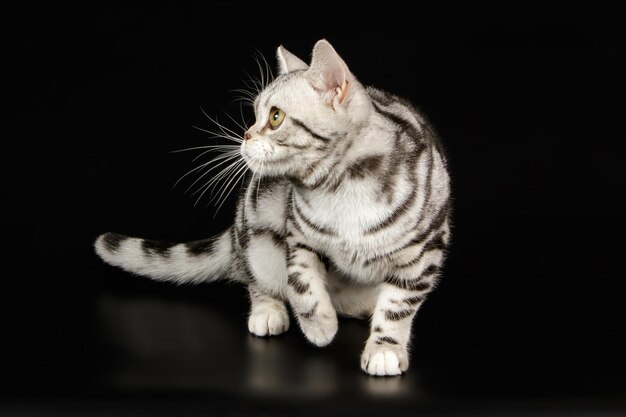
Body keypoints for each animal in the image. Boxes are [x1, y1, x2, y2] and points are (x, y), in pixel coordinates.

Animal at [94, 39, 448, 376]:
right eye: (255, 114)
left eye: (275, 116)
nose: (245, 135)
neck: (344, 189)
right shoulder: (297, 235)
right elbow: (301, 283)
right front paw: (319, 325)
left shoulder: (424, 252)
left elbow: (398, 306)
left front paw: (385, 348)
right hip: (258, 226)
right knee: (255, 278)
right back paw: (269, 310)